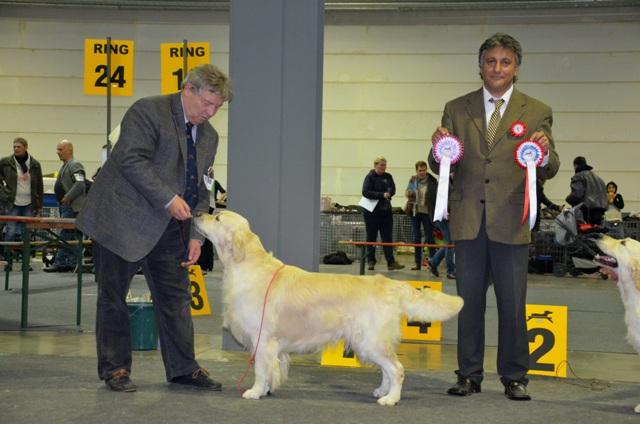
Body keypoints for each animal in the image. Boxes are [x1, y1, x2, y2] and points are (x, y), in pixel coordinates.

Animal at [192, 210, 462, 406]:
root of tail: (389, 283)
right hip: (368, 342)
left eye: (217, 217)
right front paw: (267, 388)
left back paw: (390, 398)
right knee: (388, 369)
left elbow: (260, 369)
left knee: (397, 369)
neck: (246, 265)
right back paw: (381, 391)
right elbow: (271, 369)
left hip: (369, 340)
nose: (197, 213)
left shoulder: (263, 338)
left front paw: (255, 391)